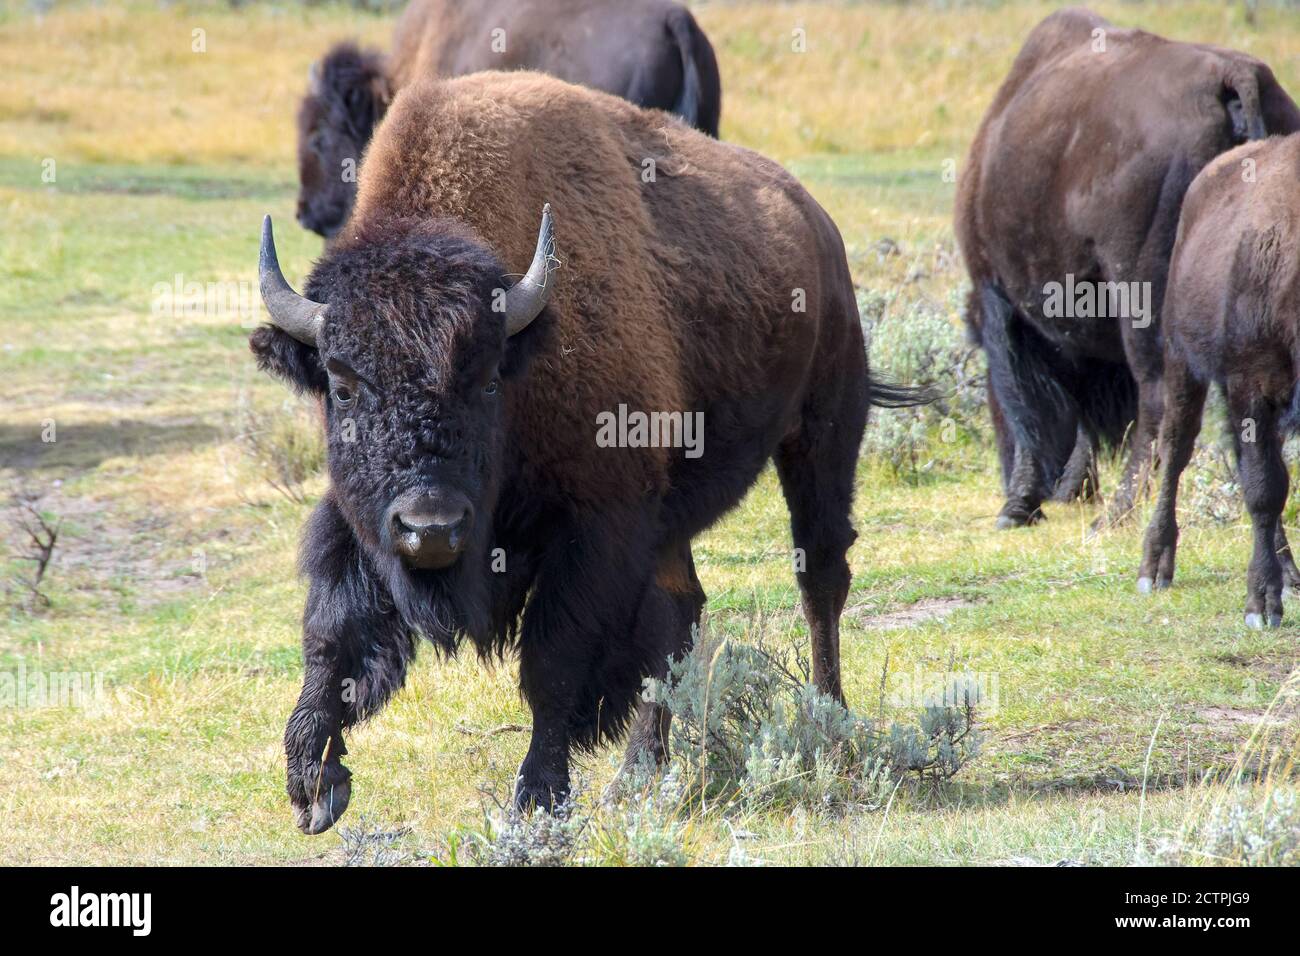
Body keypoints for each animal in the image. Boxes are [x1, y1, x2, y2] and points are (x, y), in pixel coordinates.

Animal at [253, 69, 915, 832]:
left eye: (486, 379)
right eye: (341, 385)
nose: (432, 528)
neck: (526, 350)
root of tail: (816, 222)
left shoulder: (598, 528)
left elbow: (555, 664)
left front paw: (536, 800)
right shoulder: (358, 520)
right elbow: (332, 634)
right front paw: (314, 783)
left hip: (822, 431)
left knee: (820, 576)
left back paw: (830, 731)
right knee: (683, 610)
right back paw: (639, 776)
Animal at [956, 5, 1300, 530]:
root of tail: (1233, 77)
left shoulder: (1001, 301)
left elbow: (1028, 402)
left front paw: (1018, 507)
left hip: (1143, 298)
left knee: (1156, 401)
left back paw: (1116, 515)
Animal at [1133, 134, 1300, 629]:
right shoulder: (1251, 382)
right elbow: (1264, 489)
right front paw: (1262, 605)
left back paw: (1290, 571)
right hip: (1182, 362)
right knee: (1175, 449)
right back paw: (1154, 567)